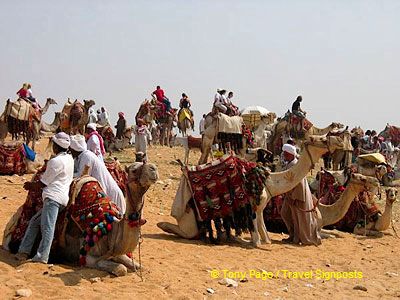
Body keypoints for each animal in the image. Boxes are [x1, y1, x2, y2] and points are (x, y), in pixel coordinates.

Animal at [159, 135, 346, 245]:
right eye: (322, 139)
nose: (339, 140)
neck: (269, 181)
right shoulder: (253, 207)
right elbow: (256, 233)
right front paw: (254, 242)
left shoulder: (260, 206)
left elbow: (263, 229)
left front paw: (263, 240)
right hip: (188, 213)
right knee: (186, 231)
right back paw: (163, 225)